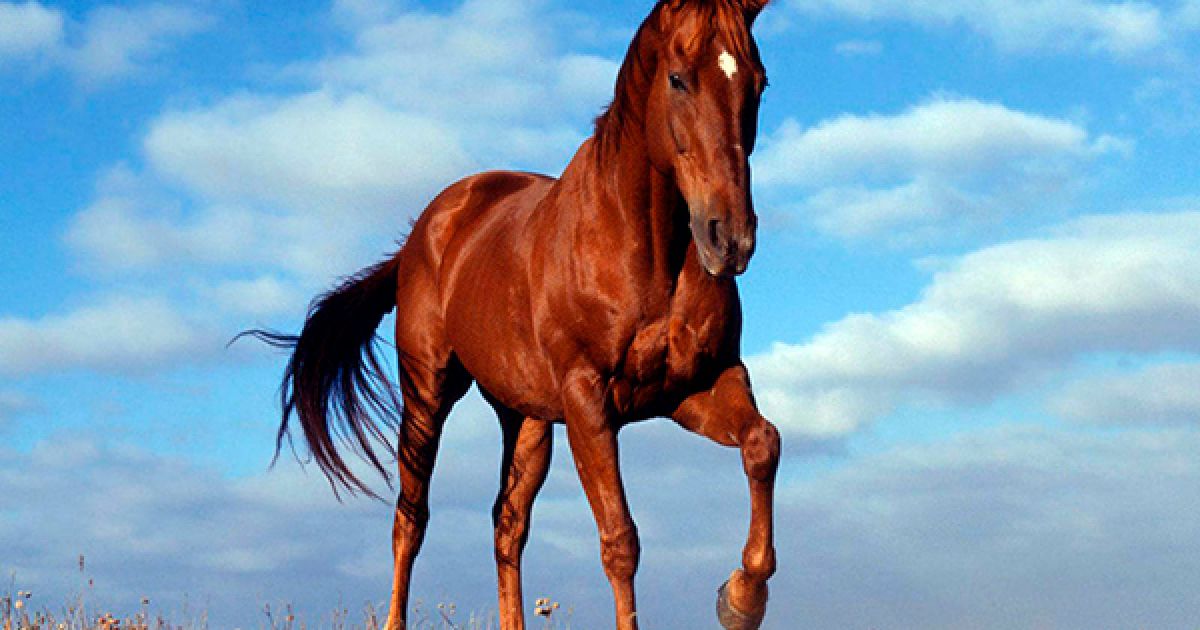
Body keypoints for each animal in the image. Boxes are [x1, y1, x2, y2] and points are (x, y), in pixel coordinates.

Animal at [247, 1, 779, 628]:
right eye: (678, 79)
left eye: (759, 84)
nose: (730, 238)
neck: (644, 250)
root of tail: (423, 234)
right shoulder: (588, 400)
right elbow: (620, 540)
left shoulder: (696, 387)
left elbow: (762, 444)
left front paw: (741, 598)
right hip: (428, 394)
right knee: (410, 519)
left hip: (524, 419)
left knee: (507, 524)